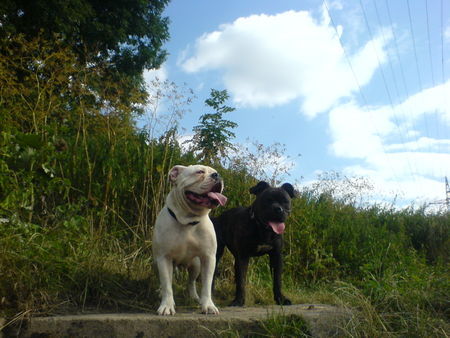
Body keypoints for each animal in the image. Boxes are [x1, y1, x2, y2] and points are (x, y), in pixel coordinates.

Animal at [153, 165, 227, 316]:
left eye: (215, 172)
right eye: (199, 172)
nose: (217, 175)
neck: (187, 220)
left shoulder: (208, 258)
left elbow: (206, 285)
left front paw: (208, 305)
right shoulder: (164, 258)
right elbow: (166, 284)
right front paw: (167, 305)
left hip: (196, 265)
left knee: (191, 282)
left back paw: (194, 296)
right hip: (157, 263)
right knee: (164, 281)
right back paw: (160, 292)